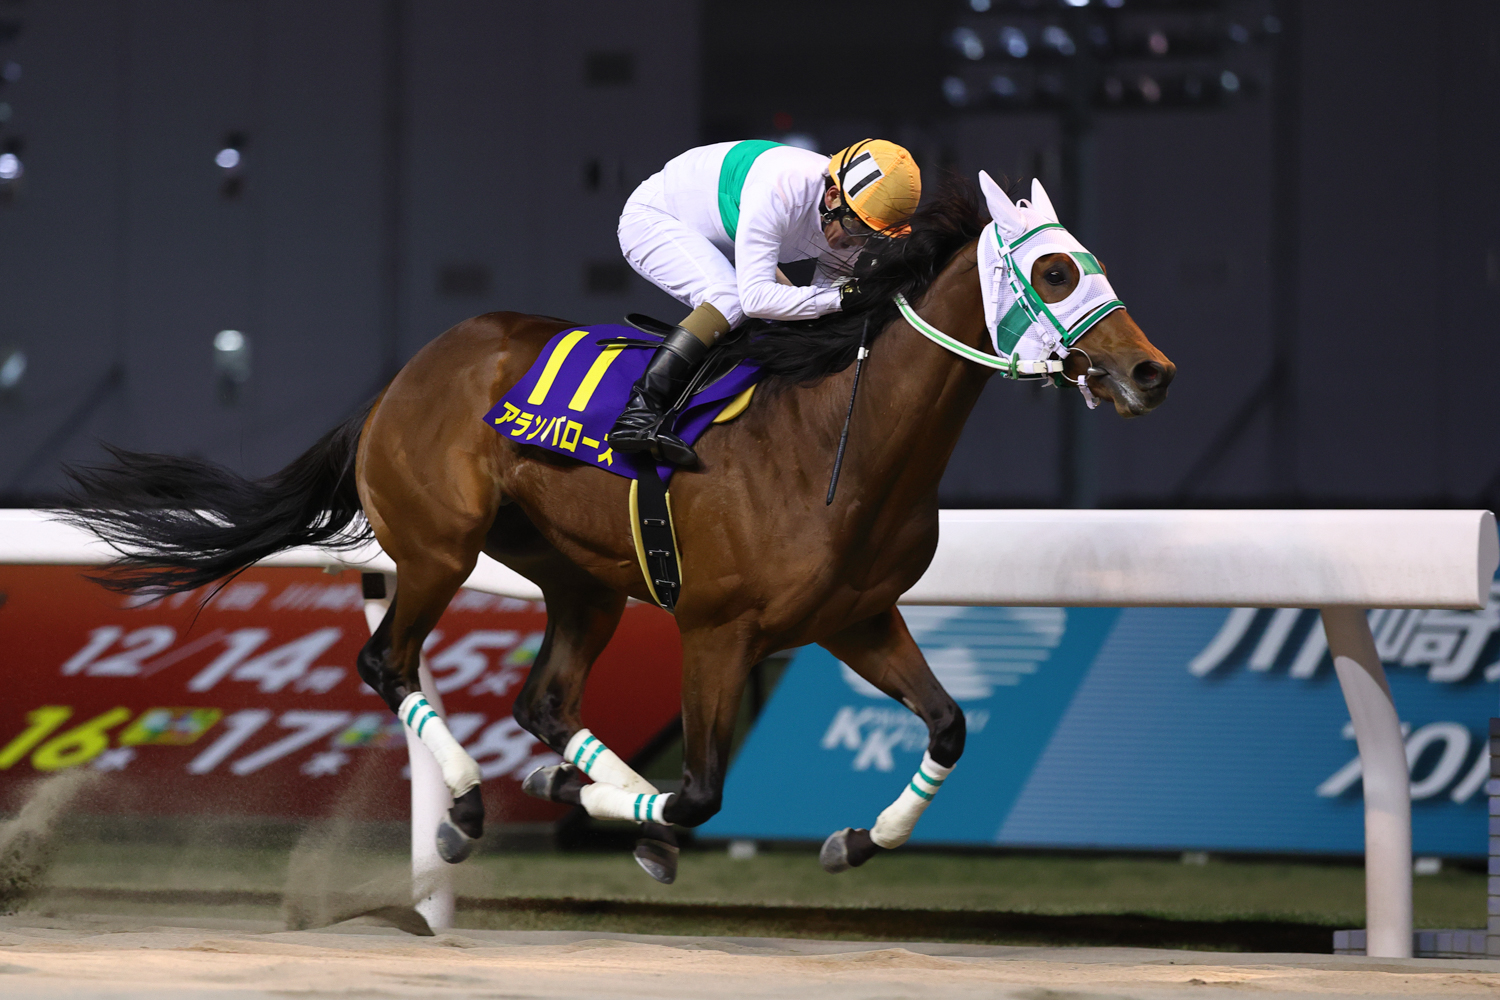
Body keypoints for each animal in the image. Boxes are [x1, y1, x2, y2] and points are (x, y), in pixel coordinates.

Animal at [58, 172, 1173, 883]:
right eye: (1059, 273)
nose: (1152, 371)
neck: (836, 442)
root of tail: (406, 373)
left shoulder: (857, 618)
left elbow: (948, 724)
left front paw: (856, 839)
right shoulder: (717, 630)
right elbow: (702, 794)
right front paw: (622, 816)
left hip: (580, 580)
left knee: (541, 700)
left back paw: (552, 777)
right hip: (437, 547)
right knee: (387, 662)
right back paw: (468, 804)